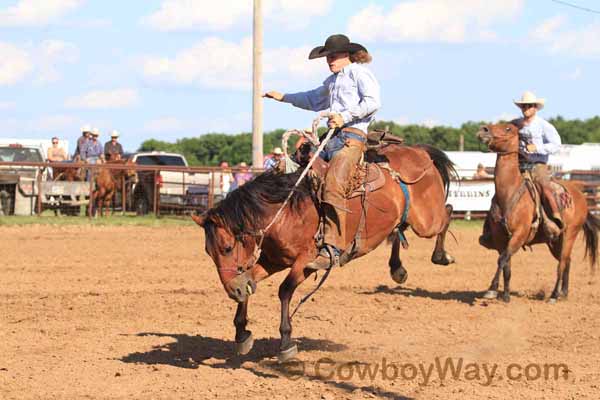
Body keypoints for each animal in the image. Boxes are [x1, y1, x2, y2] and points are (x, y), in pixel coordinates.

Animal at [190, 145, 458, 362]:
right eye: (208, 252)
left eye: (226, 248)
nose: (232, 291)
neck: (286, 210)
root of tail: (420, 151)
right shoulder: (272, 261)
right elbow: (250, 282)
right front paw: (241, 333)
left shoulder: (307, 262)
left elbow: (284, 291)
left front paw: (286, 343)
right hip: (407, 218)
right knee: (400, 228)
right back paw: (397, 269)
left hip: (427, 221)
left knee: (447, 211)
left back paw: (442, 256)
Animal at [476, 123, 596, 302]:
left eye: (508, 128)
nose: (484, 129)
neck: (509, 192)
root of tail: (580, 194)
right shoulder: (500, 237)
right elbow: (506, 265)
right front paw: (504, 295)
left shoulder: (519, 234)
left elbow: (502, 259)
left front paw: (492, 289)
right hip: (555, 242)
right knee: (567, 261)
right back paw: (563, 292)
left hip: (570, 235)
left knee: (561, 263)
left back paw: (554, 295)